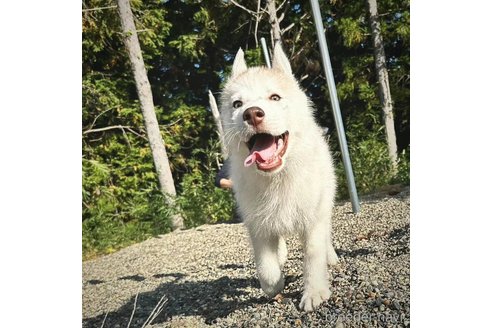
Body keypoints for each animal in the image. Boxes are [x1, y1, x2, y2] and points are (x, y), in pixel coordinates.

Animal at [219, 42, 338, 312]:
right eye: (237, 104)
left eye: (275, 97)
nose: (252, 114)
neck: (278, 177)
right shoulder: (257, 224)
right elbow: (266, 266)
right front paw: (274, 285)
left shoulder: (313, 217)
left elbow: (313, 254)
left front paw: (314, 292)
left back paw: (331, 257)